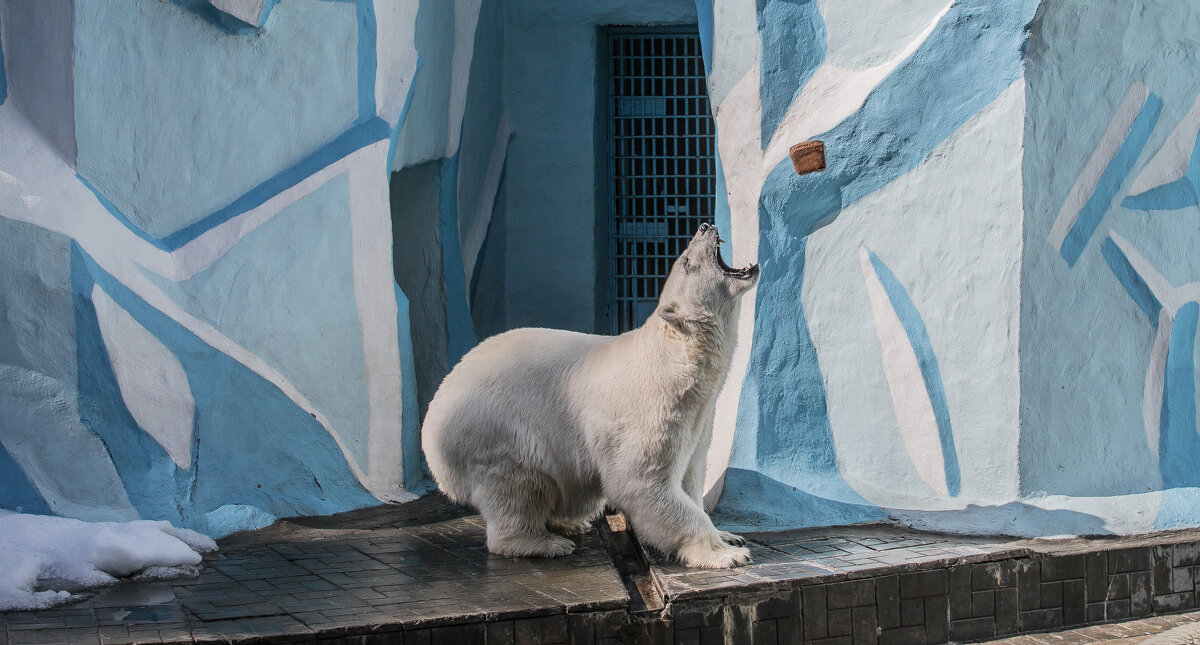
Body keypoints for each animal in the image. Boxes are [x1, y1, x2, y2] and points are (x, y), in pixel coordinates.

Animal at [422, 222, 758, 565]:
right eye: (688, 261)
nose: (705, 225)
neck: (677, 358)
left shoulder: (698, 416)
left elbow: (690, 475)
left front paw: (728, 535)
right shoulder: (655, 407)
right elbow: (642, 481)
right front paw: (728, 554)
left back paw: (568, 524)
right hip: (495, 432)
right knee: (519, 486)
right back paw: (543, 541)